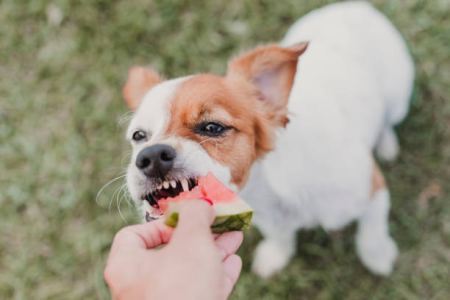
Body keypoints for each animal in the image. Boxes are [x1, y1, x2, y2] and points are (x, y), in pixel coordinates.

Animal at [121, 1, 414, 278]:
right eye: (139, 136)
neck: (269, 188)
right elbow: (280, 237)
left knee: (388, 121)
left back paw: (386, 142)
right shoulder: (269, 219)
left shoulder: (373, 191)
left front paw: (378, 256)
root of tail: (351, 6)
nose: (151, 157)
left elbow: (372, 231)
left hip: (398, 99)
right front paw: (276, 255)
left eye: (213, 127)